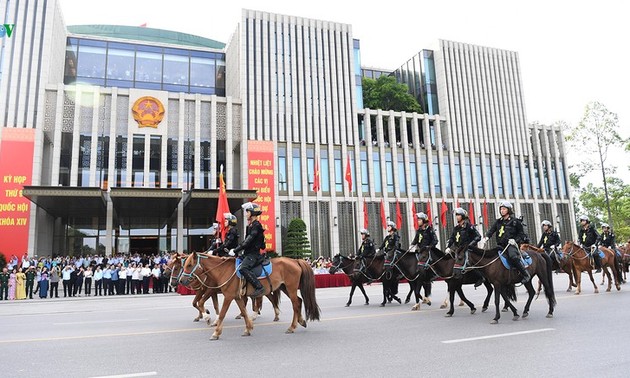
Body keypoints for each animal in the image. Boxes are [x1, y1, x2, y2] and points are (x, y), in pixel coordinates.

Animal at [181, 252, 320, 342]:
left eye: (189, 265)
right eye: (184, 264)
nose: (181, 280)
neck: (223, 270)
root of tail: (295, 260)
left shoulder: (228, 296)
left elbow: (222, 314)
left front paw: (216, 332)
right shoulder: (237, 297)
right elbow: (243, 311)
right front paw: (248, 329)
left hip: (290, 288)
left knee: (295, 304)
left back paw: (292, 327)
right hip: (284, 287)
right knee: (299, 301)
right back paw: (301, 321)